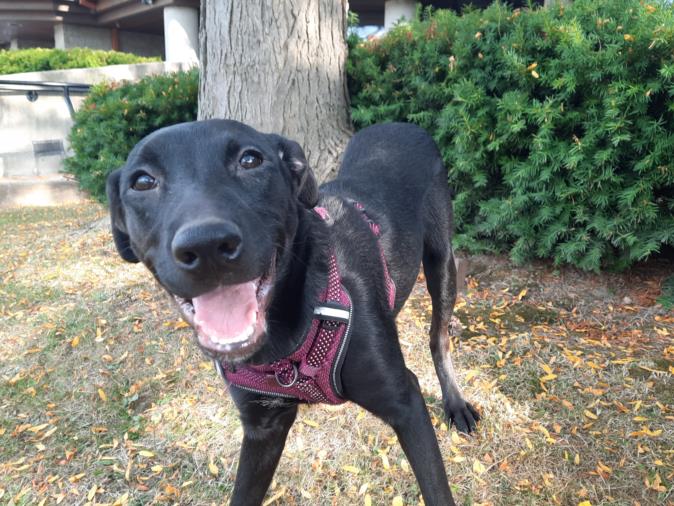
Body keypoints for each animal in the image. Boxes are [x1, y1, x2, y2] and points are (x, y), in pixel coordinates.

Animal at [106, 120, 478, 504]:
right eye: (142, 182)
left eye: (251, 160)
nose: (207, 245)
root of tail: (400, 124)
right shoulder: (263, 428)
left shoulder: (405, 401)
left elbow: (436, 489)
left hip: (441, 262)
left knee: (438, 336)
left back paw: (455, 403)